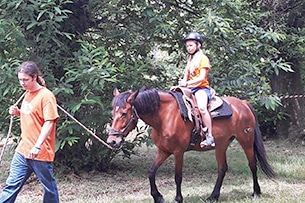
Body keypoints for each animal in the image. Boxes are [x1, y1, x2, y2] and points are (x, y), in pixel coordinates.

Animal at [107, 88, 276, 202]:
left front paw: (178, 199)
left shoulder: (178, 152)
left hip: (246, 141)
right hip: (221, 145)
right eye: (112, 113)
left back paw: (256, 192)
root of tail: (243, 104)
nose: (112, 141)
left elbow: (178, 176)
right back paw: (213, 196)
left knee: (252, 164)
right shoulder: (163, 151)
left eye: (124, 113)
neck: (164, 116)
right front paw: (158, 197)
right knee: (222, 168)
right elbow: (151, 172)